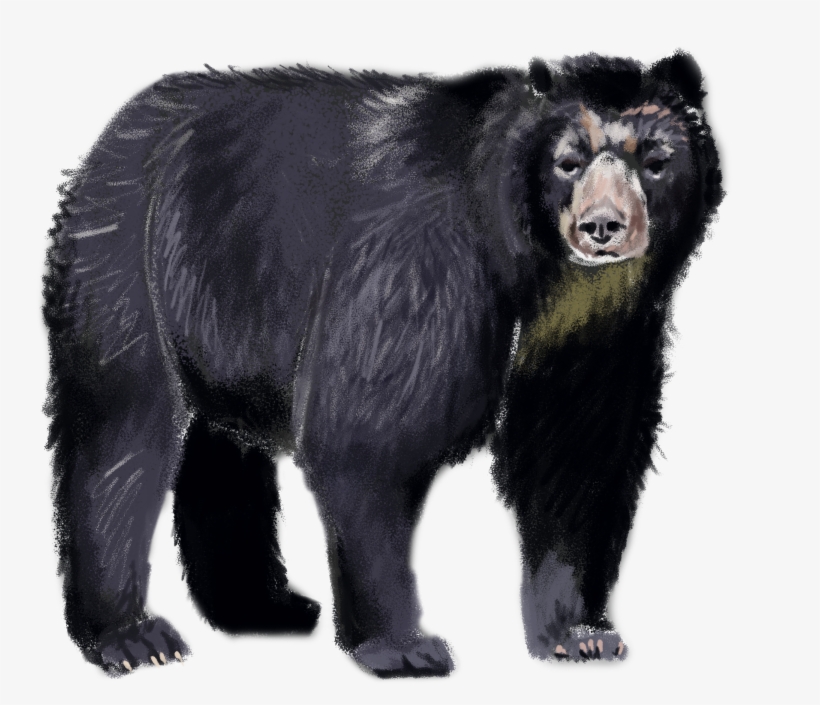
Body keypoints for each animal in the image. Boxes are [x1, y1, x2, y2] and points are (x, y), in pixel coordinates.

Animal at [43, 52, 722, 677]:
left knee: (221, 445)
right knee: (123, 432)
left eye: (655, 158)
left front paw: (580, 634)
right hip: (128, 263)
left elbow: (576, 454)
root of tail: (112, 135)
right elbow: (368, 434)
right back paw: (133, 637)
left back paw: (264, 608)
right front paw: (405, 647)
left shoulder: (603, 336)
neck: (541, 276)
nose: (602, 226)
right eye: (568, 160)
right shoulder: (421, 267)